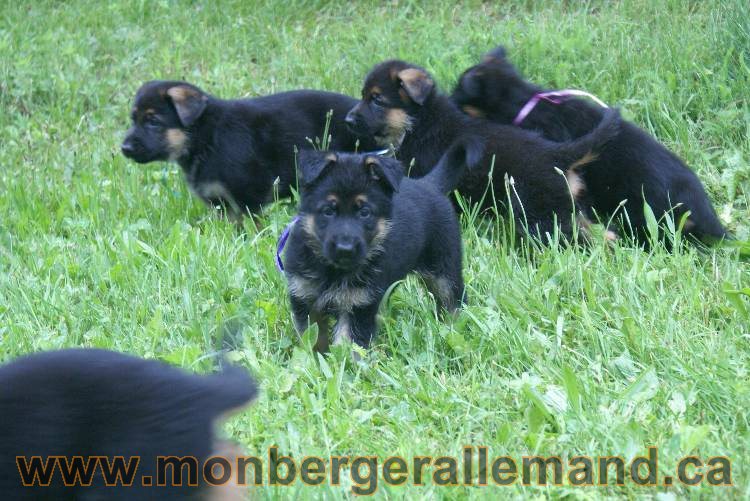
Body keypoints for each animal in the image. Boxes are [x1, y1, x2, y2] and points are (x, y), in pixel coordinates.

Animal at [122, 80, 376, 217]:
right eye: (133, 119)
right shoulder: (222, 205)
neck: (206, 137)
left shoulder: (248, 197)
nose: (124, 148)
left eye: (153, 121)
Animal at [282, 146, 470, 350]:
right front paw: (316, 356)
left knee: (454, 300)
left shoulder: (358, 305)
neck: (332, 270)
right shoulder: (305, 297)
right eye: (328, 211)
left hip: (444, 270)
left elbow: (347, 343)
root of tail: (429, 184)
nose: (345, 249)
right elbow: (313, 337)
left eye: (364, 213)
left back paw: (453, 330)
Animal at [346, 58, 624, 242]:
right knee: (602, 234)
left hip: (540, 214)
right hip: (566, 208)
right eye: (363, 95)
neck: (421, 120)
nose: (348, 120)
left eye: (376, 99)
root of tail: (559, 154)